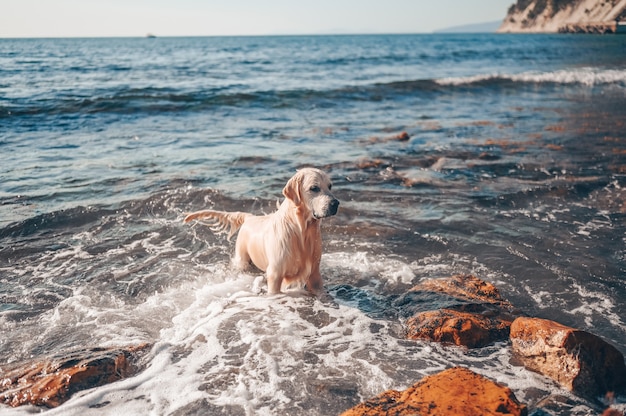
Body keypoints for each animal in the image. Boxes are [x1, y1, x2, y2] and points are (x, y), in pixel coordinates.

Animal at [183, 167, 338, 294]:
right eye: (314, 188)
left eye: (330, 186)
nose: (335, 203)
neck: (301, 231)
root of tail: (250, 217)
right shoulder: (275, 273)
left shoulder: (315, 274)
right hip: (242, 259)